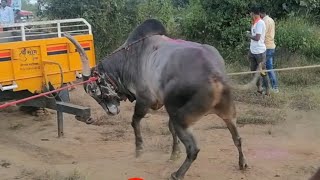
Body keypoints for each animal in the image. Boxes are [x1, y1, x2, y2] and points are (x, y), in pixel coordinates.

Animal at [63, 19, 262, 179]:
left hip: (183, 117)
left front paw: (139, 150)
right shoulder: (167, 106)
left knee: (194, 149)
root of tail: (216, 73)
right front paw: (173, 154)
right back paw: (242, 164)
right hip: (228, 113)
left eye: (92, 90)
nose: (111, 111)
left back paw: (177, 174)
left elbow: (134, 122)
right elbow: (170, 129)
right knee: (237, 138)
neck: (129, 57)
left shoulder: (145, 100)